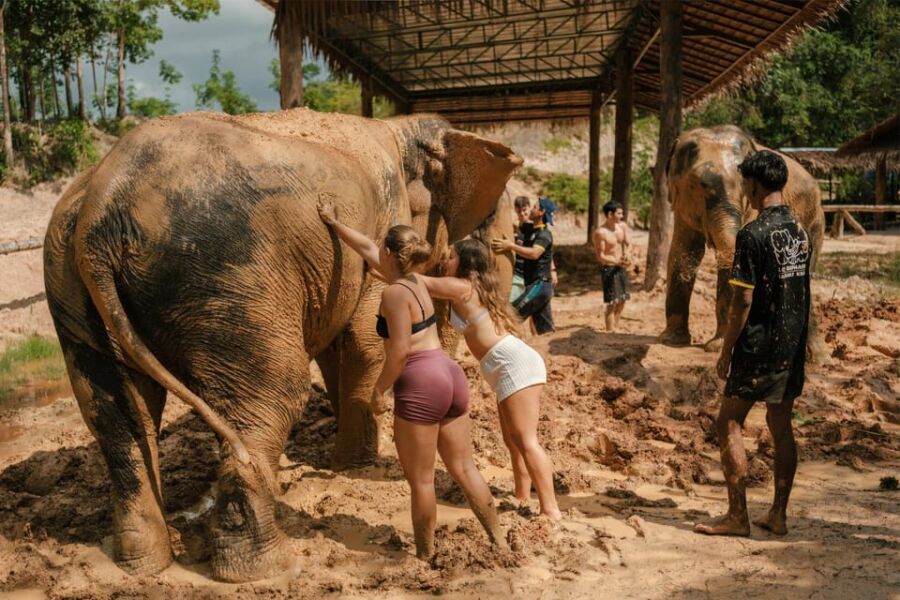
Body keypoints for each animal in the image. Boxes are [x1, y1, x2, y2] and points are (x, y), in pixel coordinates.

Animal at [42, 108, 520, 580]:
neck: (400, 128)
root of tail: (101, 207)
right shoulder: (382, 223)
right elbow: (367, 341)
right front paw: (357, 464)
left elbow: (338, 348)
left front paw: (344, 463)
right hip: (232, 279)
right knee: (273, 394)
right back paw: (266, 566)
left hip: (72, 286)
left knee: (118, 416)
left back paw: (143, 566)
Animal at [656, 126, 828, 352]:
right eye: (699, 185)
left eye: (745, 187)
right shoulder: (682, 205)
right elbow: (683, 251)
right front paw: (670, 341)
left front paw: (716, 347)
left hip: (815, 222)